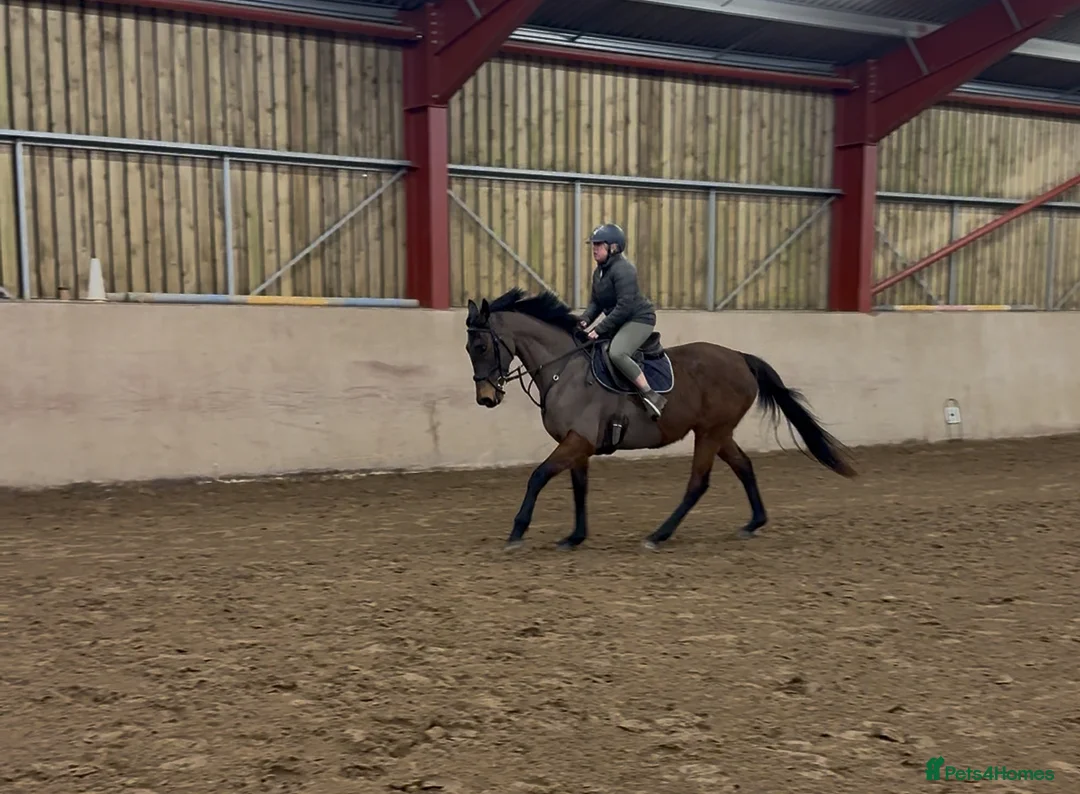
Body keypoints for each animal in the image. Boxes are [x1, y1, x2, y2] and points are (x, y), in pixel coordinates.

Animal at [463, 287, 857, 551]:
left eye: (481, 346)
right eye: (469, 348)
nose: (485, 398)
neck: (565, 369)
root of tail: (740, 357)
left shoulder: (577, 441)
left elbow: (538, 476)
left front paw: (517, 533)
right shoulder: (578, 445)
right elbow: (579, 488)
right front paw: (575, 537)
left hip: (710, 433)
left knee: (698, 483)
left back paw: (658, 535)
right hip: (718, 432)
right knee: (743, 466)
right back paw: (752, 523)